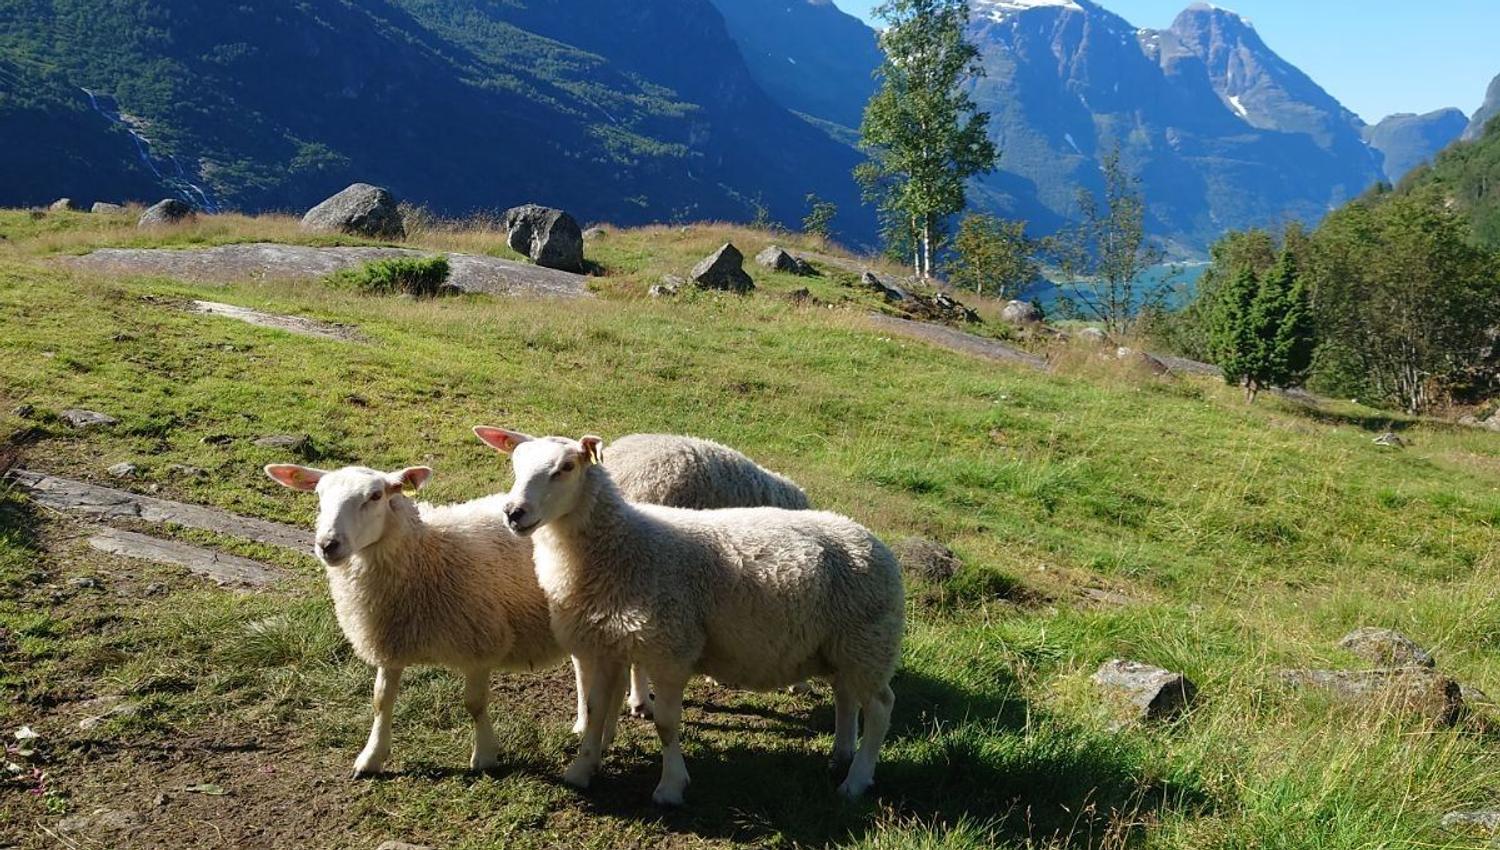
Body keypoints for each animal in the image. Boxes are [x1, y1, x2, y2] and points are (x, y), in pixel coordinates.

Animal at [263, 463, 564, 777]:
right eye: (319, 495)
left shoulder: (481, 640)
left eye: (375, 496)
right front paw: (371, 757)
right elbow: (381, 700)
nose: (327, 545)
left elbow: (475, 703)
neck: (427, 556)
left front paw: (484, 755)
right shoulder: (390, 639)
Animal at [475, 428, 904, 804]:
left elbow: (667, 724)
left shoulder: (670, 648)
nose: (514, 513)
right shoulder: (608, 645)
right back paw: (841, 757)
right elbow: (596, 712)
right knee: (846, 695)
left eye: (565, 467)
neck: (622, 549)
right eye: (515, 464)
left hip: (868, 640)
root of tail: (867, 536)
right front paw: (582, 770)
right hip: (842, 644)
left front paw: (670, 787)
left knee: (880, 707)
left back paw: (856, 781)